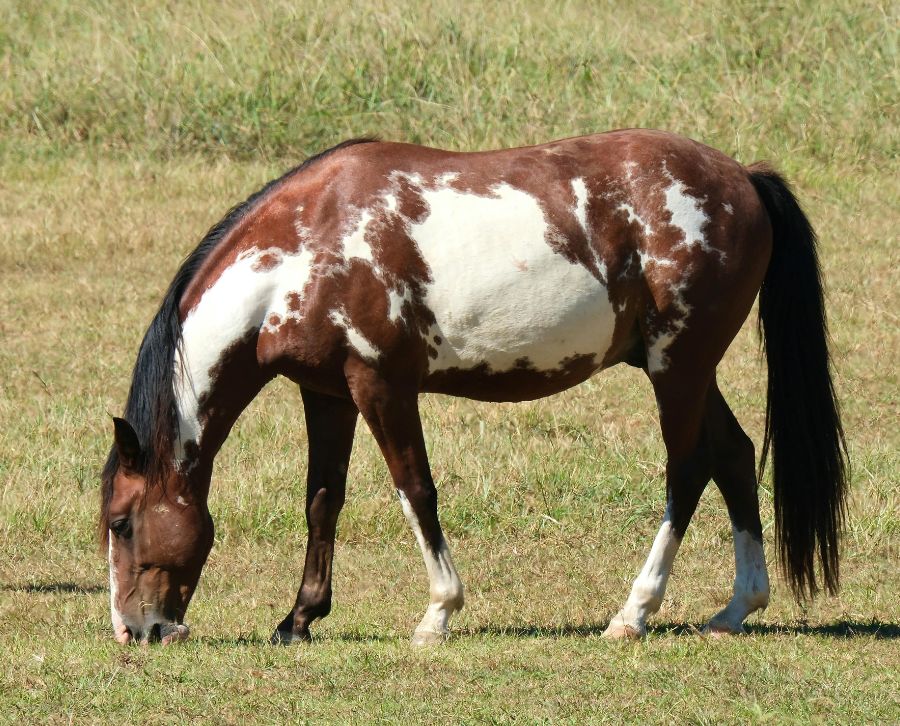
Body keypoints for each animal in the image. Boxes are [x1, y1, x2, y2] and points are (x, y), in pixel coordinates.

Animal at [102, 131, 848, 648]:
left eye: (121, 522)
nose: (136, 631)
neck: (304, 252)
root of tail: (744, 177)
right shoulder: (329, 394)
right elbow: (322, 501)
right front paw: (300, 618)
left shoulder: (382, 387)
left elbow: (416, 491)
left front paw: (439, 613)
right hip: (683, 369)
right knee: (734, 455)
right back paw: (738, 606)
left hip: (678, 368)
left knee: (687, 469)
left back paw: (633, 612)